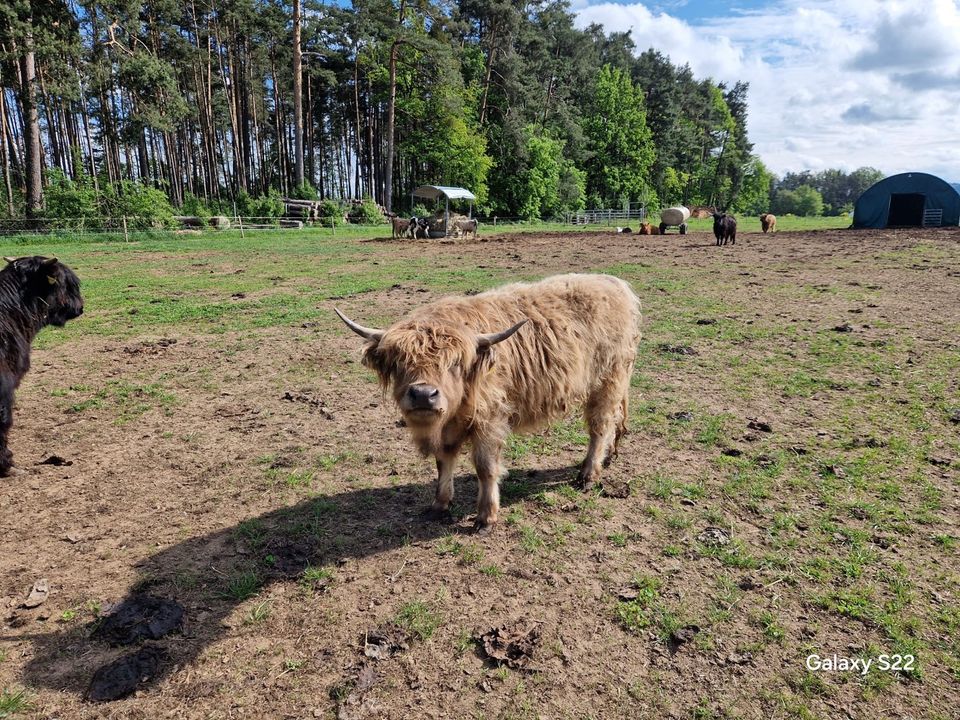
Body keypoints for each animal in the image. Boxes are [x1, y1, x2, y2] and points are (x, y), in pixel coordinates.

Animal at [334, 272, 640, 532]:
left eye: (454, 363)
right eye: (399, 362)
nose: (423, 394)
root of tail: (615, 283)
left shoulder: (490, 420)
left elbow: (485, 467)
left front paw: (486, 517)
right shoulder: (448, 428)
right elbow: (443, 461)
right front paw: (440, 504)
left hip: (608, 382)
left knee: (600, 426)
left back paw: (588, 474)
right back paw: (608, 457)